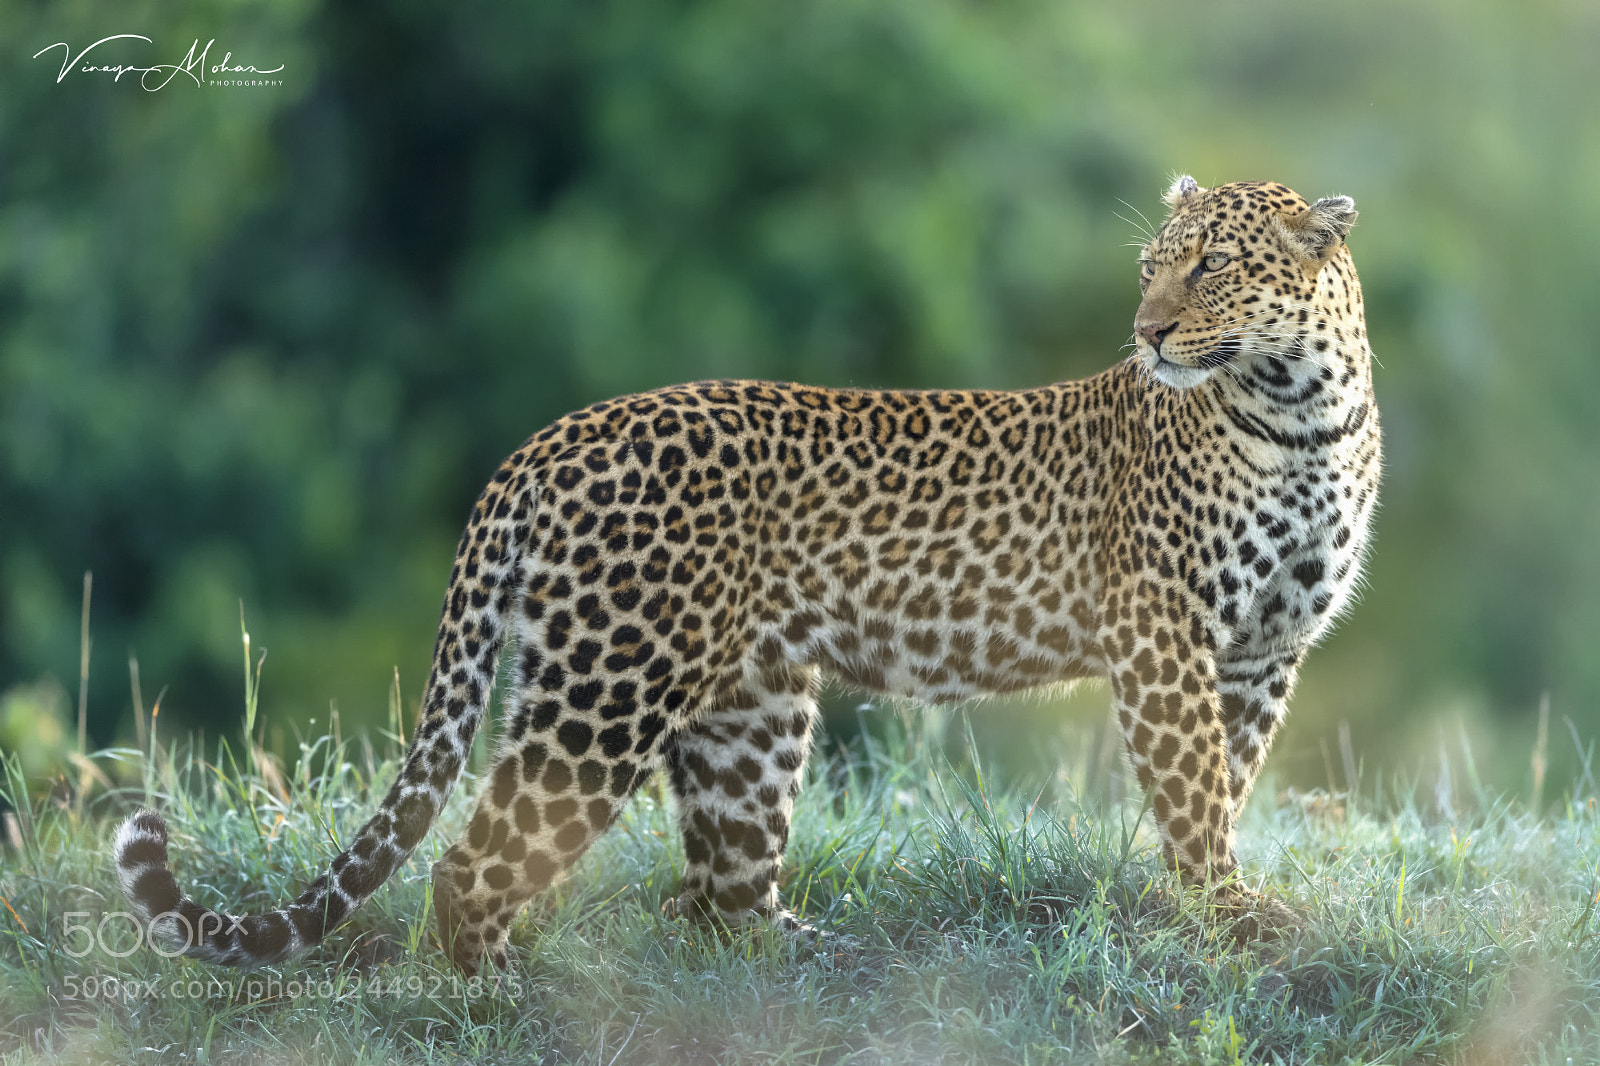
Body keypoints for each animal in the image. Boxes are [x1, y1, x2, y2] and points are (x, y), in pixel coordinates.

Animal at [114, 176, 1380, 973]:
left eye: (1210, 267)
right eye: (1152, 269)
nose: (1148, 333)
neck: (1304, 412)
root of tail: (547, 440)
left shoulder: (1260, 650)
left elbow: (1224, 777)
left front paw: (1194, 905)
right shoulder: (1162, 631)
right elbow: (1194, 786)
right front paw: (1226, 912)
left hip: (748, 708)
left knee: (720, 897)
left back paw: (812, 960)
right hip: (606, 690)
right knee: (475, 862)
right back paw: (494, 996)